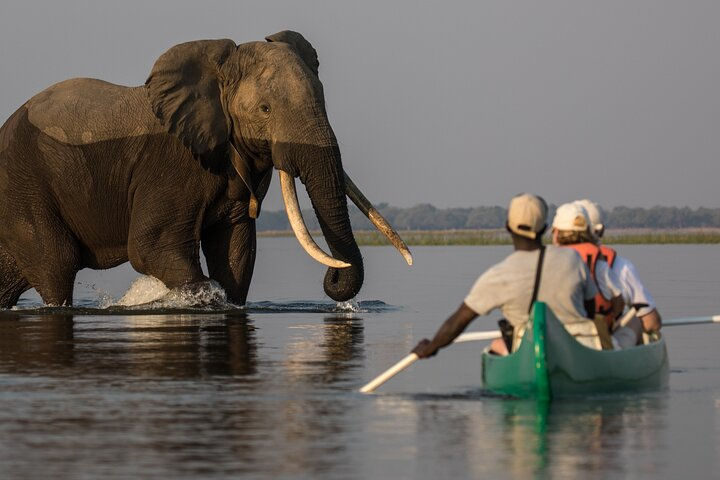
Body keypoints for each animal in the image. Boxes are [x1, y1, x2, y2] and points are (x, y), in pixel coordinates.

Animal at [0, 30, 412, 308]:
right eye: (265, 110)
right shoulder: (170, 165)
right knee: (57, 266)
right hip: (24, 188)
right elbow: (152, 248)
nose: (335, 277)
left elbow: (235, 252)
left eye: (323, 100)